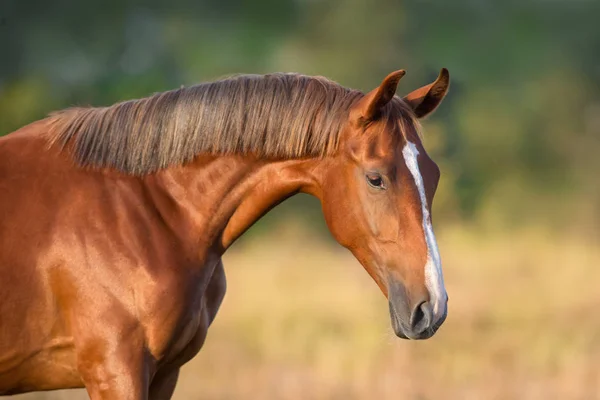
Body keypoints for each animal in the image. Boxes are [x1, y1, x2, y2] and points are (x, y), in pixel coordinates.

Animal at [0, 69, 450, 396]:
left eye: (434, 176)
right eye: (376, 178)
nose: (432, 307)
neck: (146, 207)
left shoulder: (164, 374)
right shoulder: (115, 371)